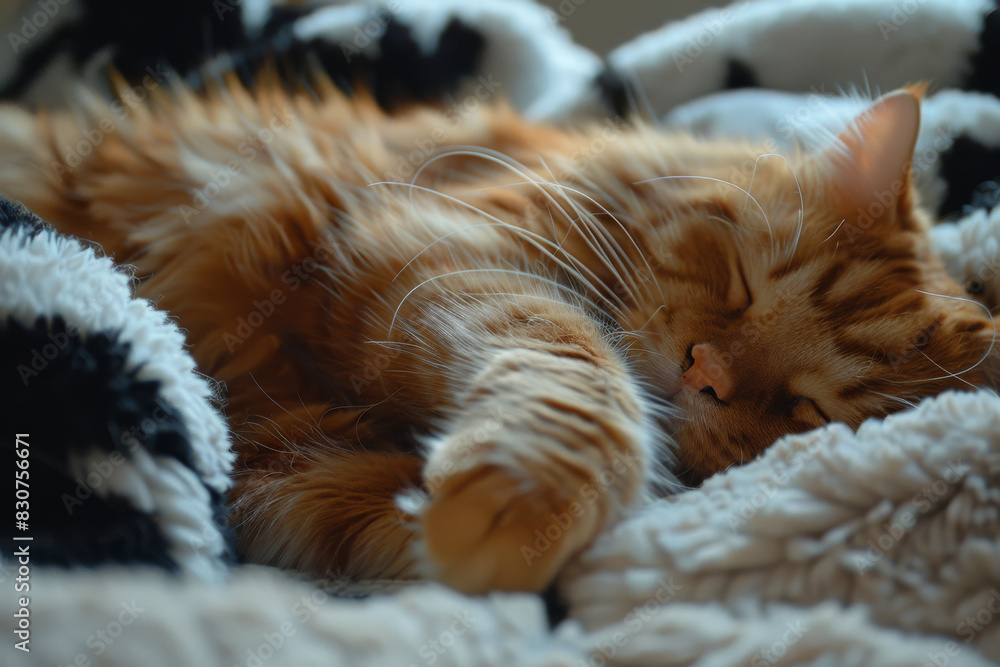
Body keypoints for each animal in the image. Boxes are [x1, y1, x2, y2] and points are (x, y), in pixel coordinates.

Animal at [3, 78, 996, 596]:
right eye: (738, 279)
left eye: (806, 409)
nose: (705, 374)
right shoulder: (436, 243)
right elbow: (574, 367)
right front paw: (530, 490)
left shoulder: (283, 465)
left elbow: (359, 519)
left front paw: (455, 523)